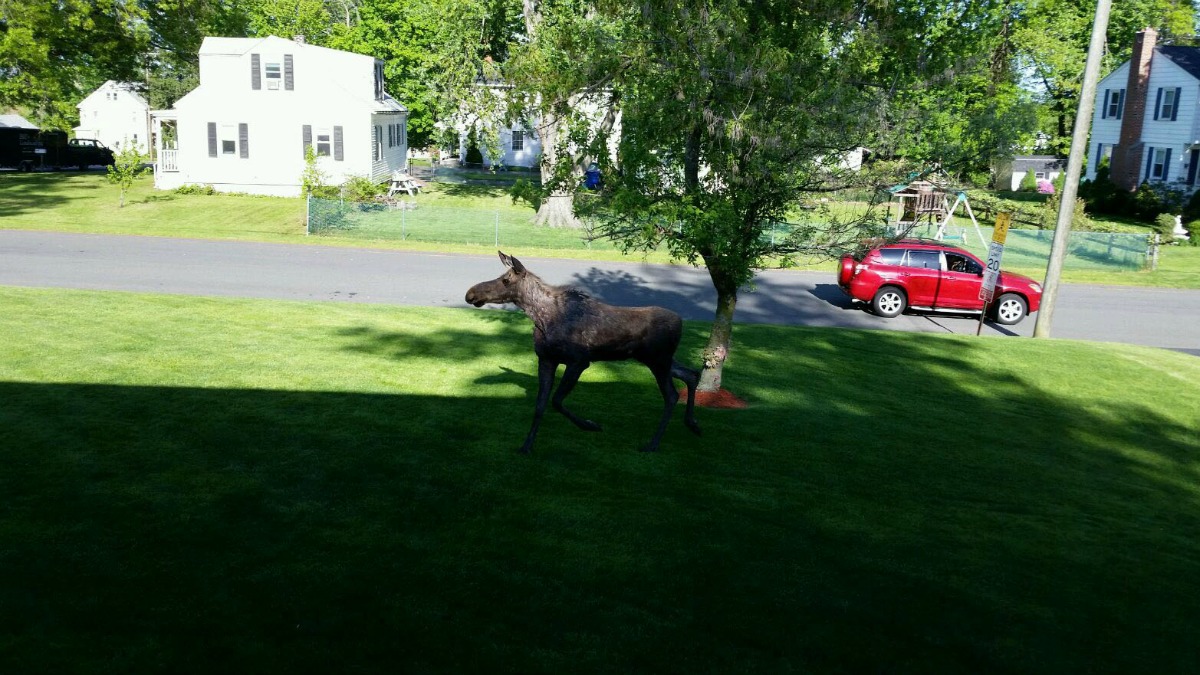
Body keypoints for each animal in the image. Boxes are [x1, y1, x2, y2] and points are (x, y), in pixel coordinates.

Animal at [460, 252, 700, 451]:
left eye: (506, 280)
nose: (470, 294)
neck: (541, 319)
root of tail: (681, 322)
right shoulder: (546, 359)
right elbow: (540, 405)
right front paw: (527, 445)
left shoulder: (579, 361)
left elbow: (556, 401)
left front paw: (590, 425)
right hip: (657, 359)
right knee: (691, 374)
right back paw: (692, 423)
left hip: (657, 360)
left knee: (672, 395)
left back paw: (653, 443)